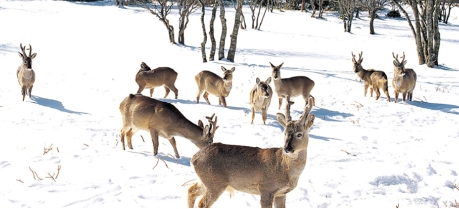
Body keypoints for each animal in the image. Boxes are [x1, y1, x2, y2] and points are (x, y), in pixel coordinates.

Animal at [188, 95, 316, 208]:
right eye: (285, 133)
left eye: (299, 134)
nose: (287, 148)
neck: (283, 166)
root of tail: (194, 158)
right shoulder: (266, 188)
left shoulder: (281, 193)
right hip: (214, 183)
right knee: (201, 203)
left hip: (205, 181)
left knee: (191, 191)